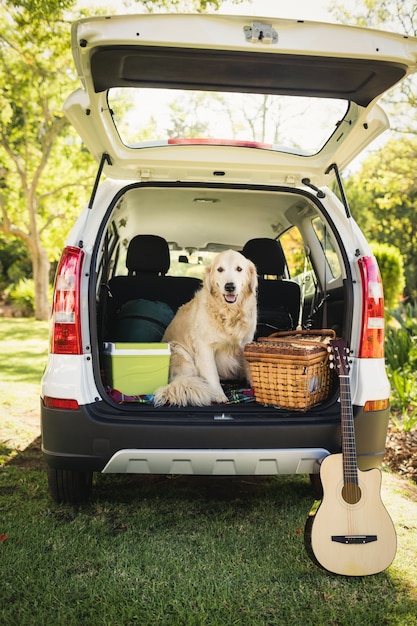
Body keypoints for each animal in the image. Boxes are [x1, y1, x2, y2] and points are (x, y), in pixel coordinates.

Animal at [153, 249, 256, 404]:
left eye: (239, 269)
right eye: (220, 269)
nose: (229, 286)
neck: (229, 313)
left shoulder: (246, 343)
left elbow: (250, 367)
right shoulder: (204, 347)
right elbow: (212, 374)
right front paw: (218, 395)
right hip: (179, 352)